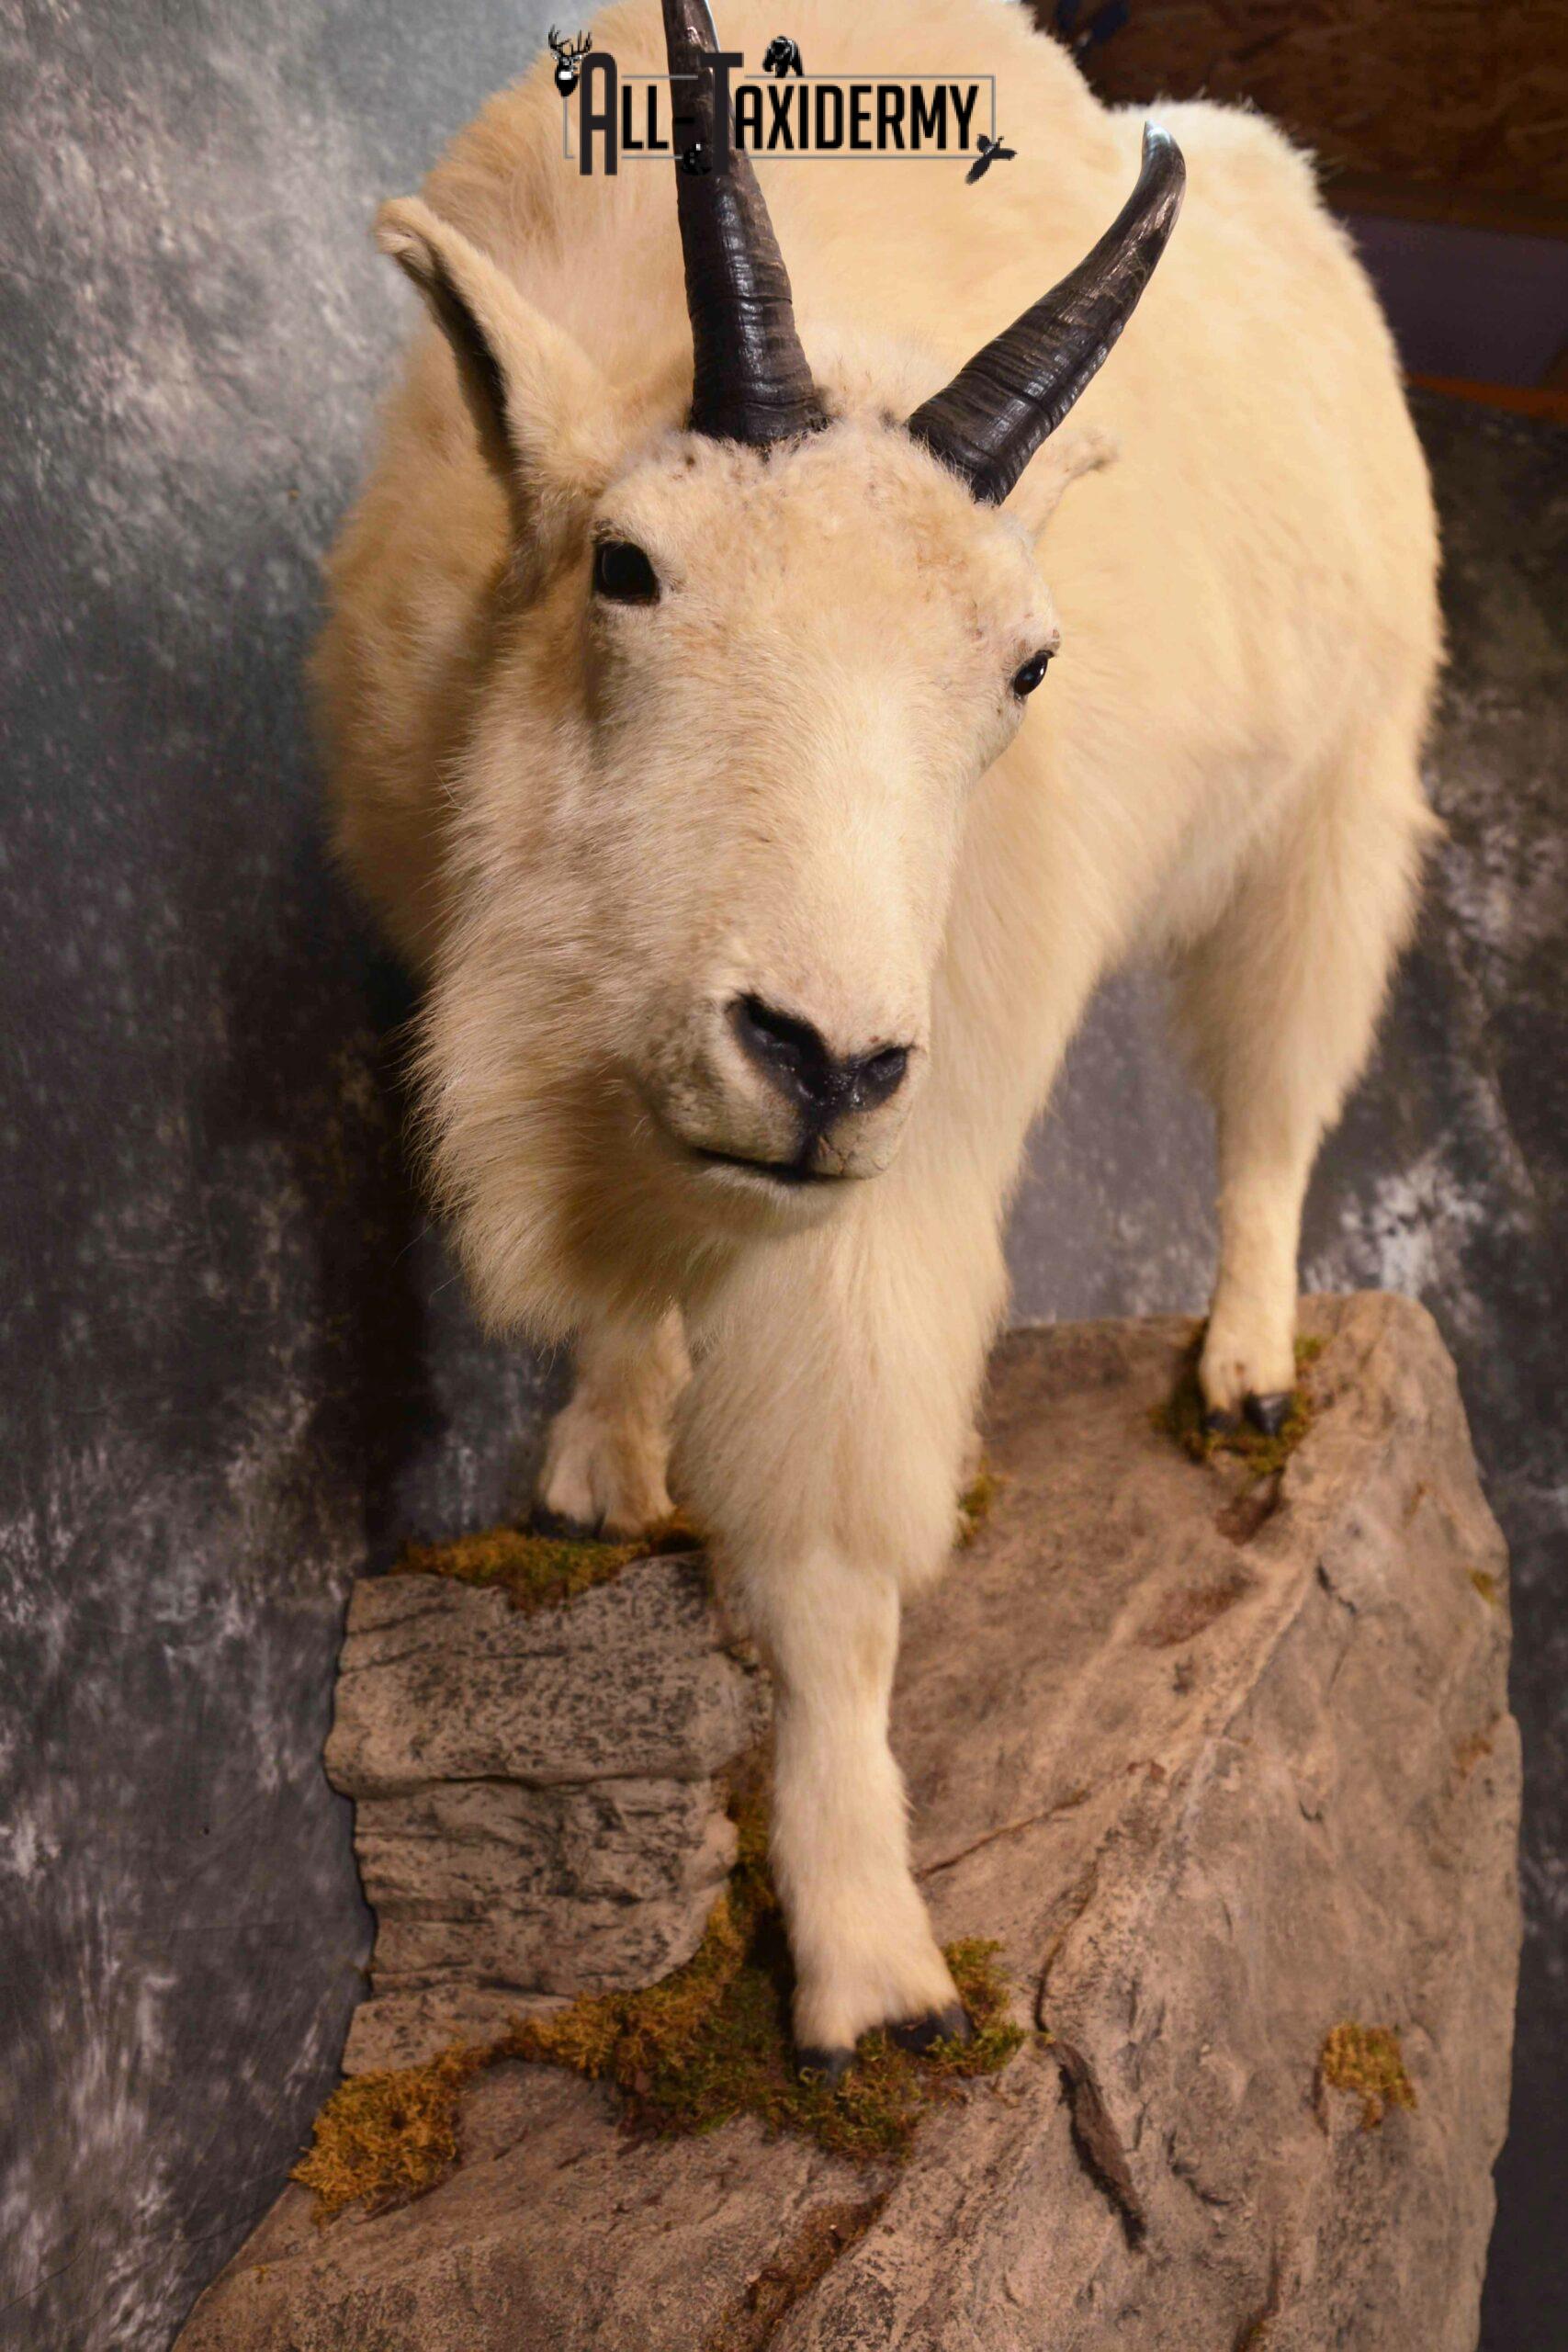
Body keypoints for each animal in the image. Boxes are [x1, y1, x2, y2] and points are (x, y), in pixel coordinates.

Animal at [315, 0, 1438, 2075]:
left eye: (1025, 664)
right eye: (626, 566)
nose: (818, 1065)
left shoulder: (888, 1181)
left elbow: (834, 1560)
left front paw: (871, 1965)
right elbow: (636, 1292)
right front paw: (606, 1457)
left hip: (1336, 795)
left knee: (1275, 1088)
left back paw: (1247, 1363)